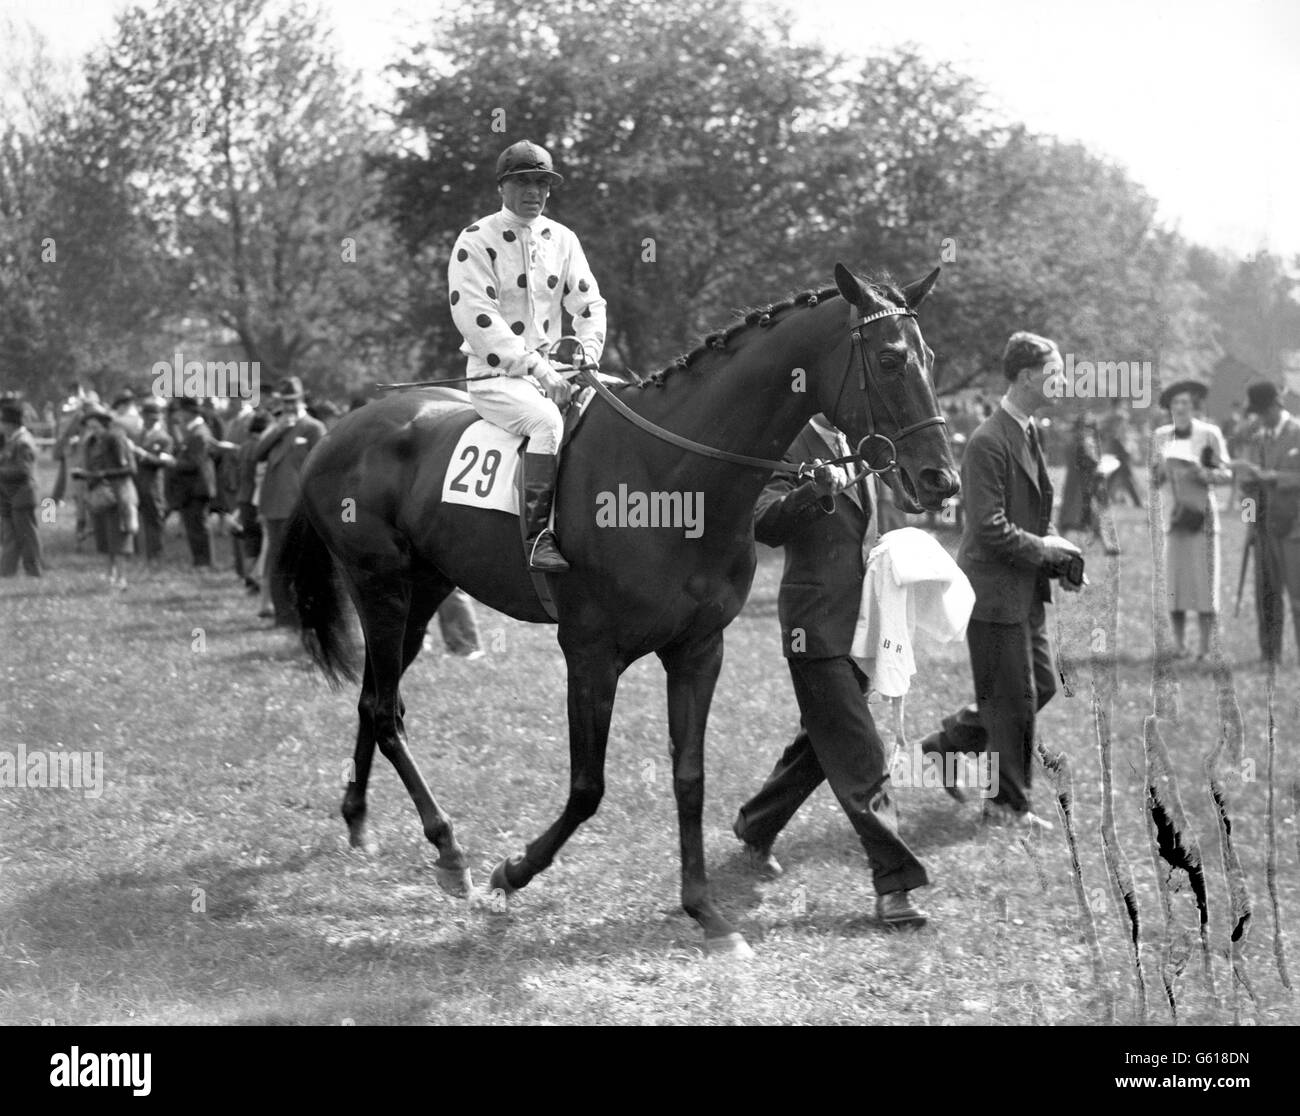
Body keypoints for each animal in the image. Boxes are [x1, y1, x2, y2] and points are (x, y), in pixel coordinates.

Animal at [279, 262, 961, 957]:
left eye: (931, 357)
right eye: (889, 358)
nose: (941, 480)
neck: (673, 477)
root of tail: (341, 431)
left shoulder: (698, 649)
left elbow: (690, 777)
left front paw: (705, 911)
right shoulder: (590, 653)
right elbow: (588, 786)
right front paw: (513, 872)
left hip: (423, 596)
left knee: (376, 702)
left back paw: (361, 820)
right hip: (379, 589)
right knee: (384, 711)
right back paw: (449, 848)